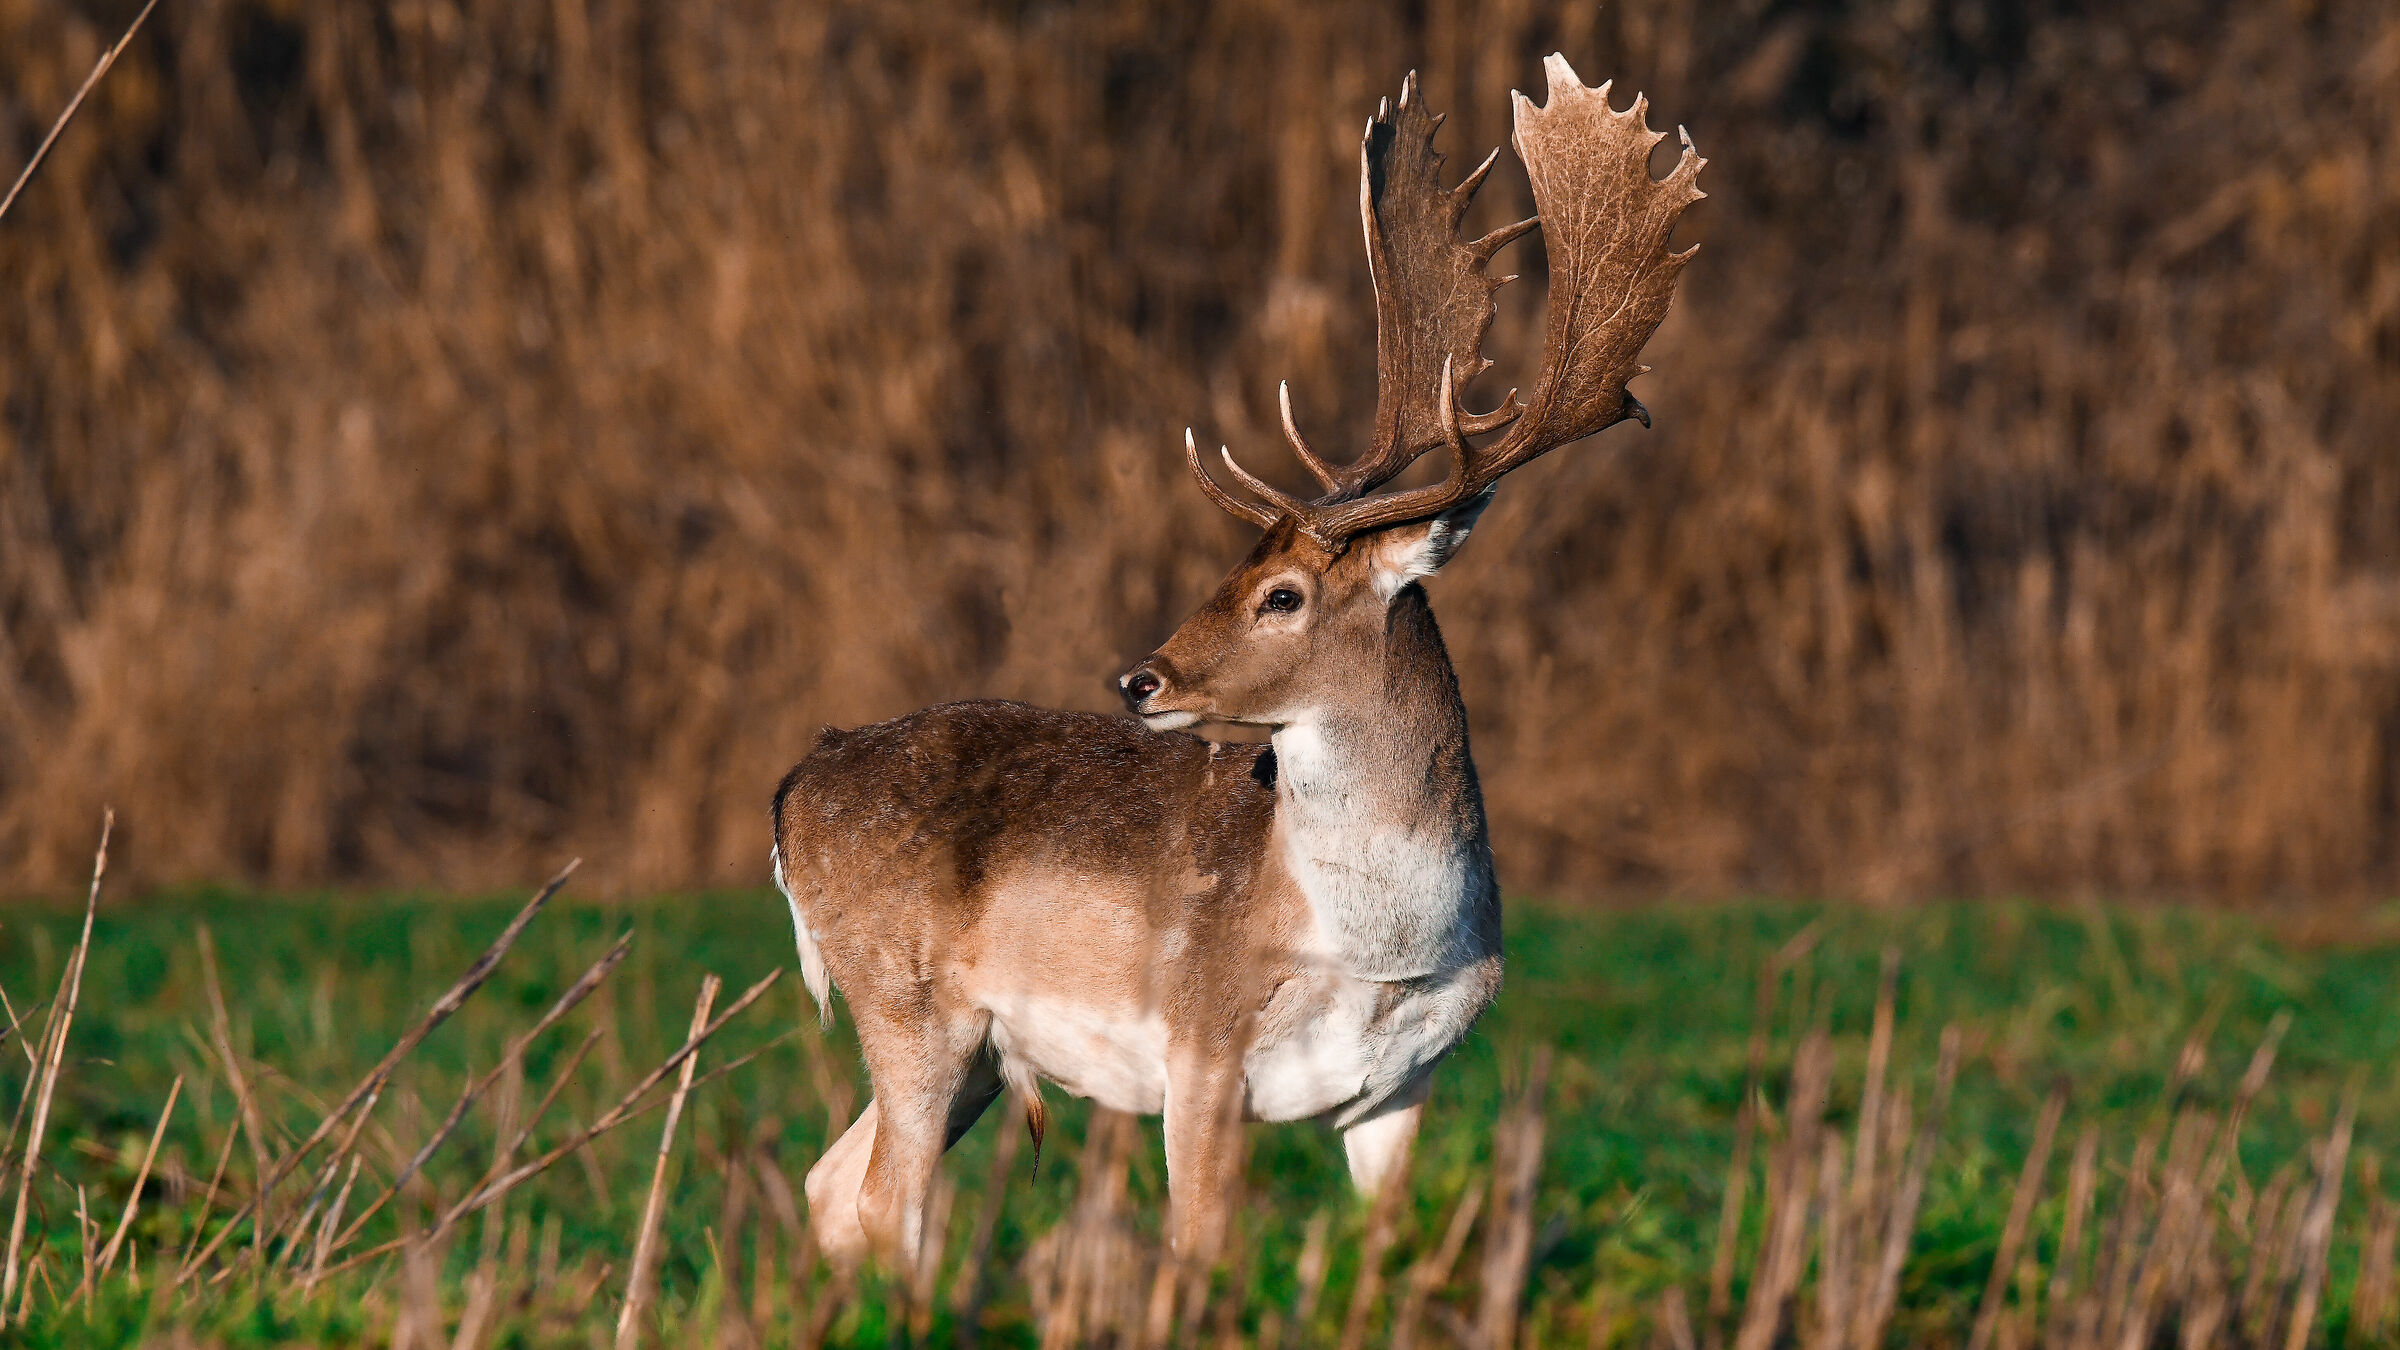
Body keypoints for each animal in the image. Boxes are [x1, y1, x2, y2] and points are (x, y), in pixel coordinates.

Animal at [771, 53, 1703, 1272]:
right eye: (1236, 565)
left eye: (1282, 593)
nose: (1142, 679)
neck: (1379, 946)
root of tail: (793, 790)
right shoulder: (1202, 1042)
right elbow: (1199, 1251)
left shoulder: (1404, 1085)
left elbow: (1384, 1248)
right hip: (906, 996)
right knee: (889, 1200)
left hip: (966, 1045)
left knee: (833, 1184)